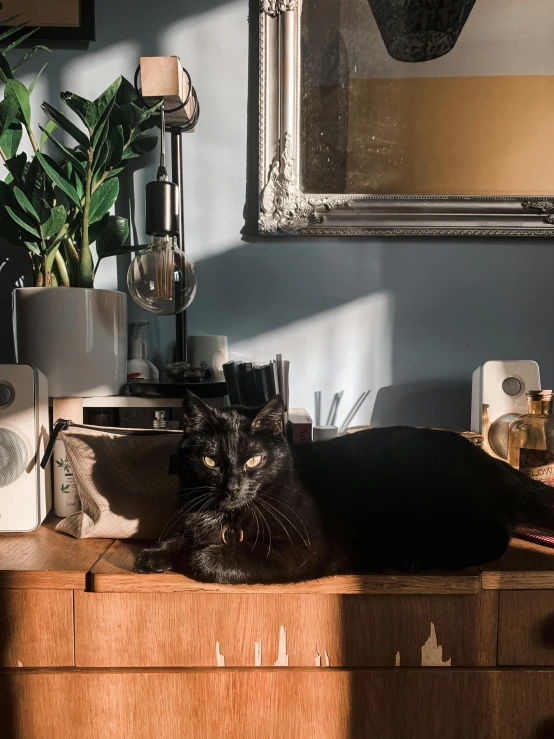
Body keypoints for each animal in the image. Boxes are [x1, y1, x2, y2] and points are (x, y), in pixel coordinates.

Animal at [135, 394, 552, 584]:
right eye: (210, 462)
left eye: (253, 461)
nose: (233, 486)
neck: (230, 515)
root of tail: (489, 462)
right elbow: (184, 533)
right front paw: (155, 553)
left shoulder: (302, 549)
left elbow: (215, 560)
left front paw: (190, 557)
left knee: (496, 539)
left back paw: (415, 559)